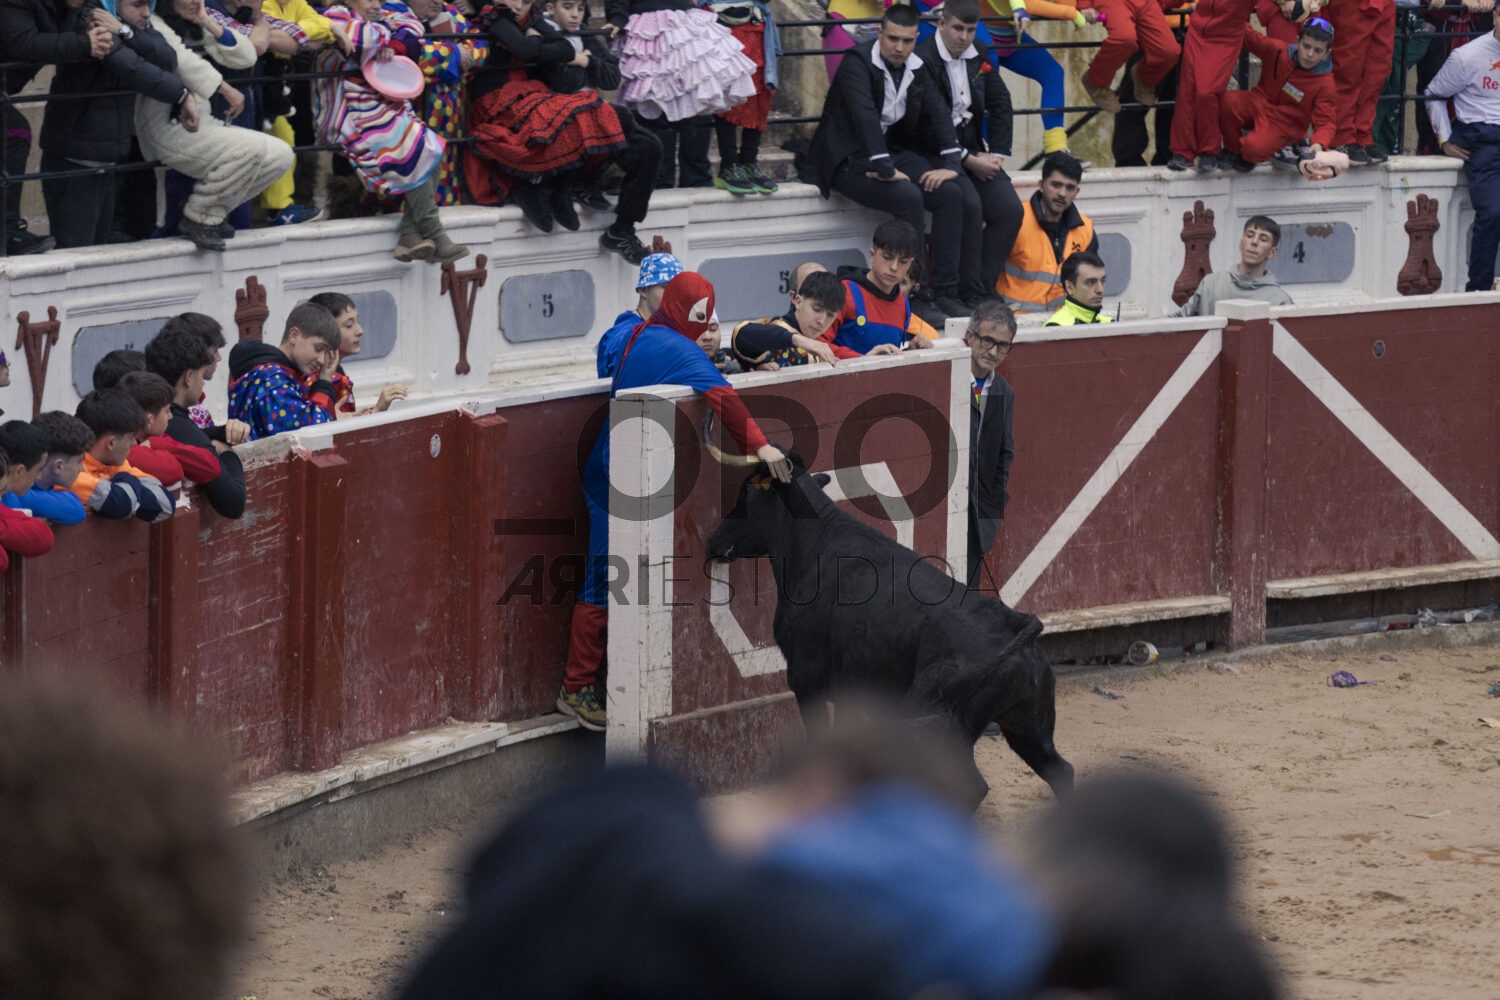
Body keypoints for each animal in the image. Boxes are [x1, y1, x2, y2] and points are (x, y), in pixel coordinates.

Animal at [705, 449, 1074, 808]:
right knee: (1060, 771)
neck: (816, 543)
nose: (713, 542)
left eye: (745, 494)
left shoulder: (805, 679)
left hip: (937, 724)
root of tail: (1019, 628)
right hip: (1030, 726)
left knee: (972, 787)